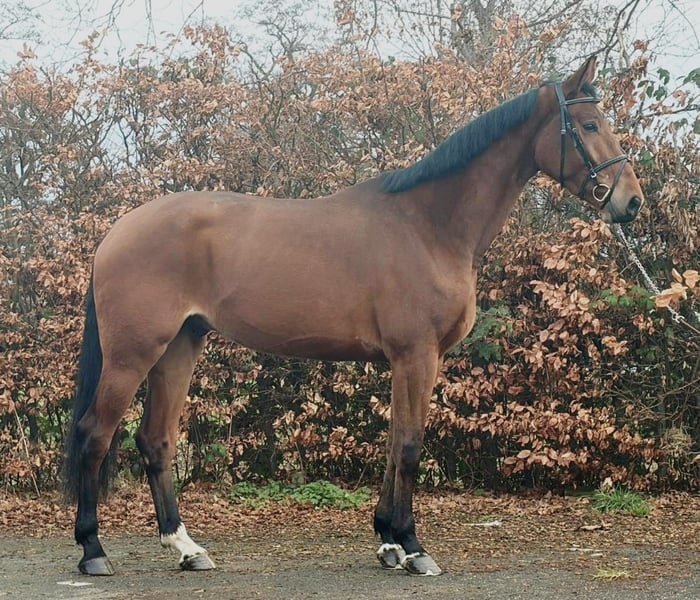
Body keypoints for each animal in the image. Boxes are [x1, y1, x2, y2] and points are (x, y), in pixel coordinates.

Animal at [65, 56, 644, 577]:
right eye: (589, 125)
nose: (632, 201)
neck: (427, 226)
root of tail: (116, 233)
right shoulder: (416, 355)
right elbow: (409, 447)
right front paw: (412, 547)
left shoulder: (406, 361)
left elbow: (392, 444)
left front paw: (387, 540)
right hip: (133, 353)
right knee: (95, 434)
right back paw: (93, 551)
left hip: (180, 346)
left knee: (155, 440)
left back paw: (186, 548)